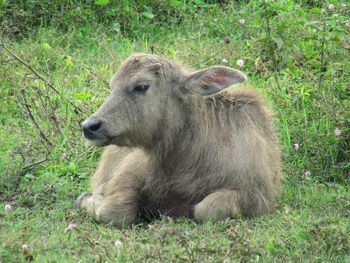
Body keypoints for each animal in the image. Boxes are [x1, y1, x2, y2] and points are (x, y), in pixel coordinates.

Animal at [75, 53, 284, 227]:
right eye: (112, 86)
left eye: (141, 86)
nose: (89, 126)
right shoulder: (127, 173)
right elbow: (115, 211)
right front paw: (86, 199)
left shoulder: (257, 196)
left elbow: (207, 209)